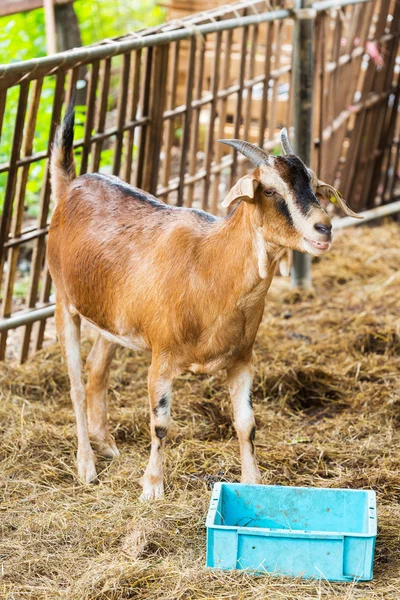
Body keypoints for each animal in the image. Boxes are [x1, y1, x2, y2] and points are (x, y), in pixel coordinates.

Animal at [47, 101, 360, 500]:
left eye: (313, 184)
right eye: (269, 191)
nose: (324, 228)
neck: (209, 267)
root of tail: (70, 185)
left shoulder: (242, 359)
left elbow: (246, 423)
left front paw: (253, 482)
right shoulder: (162, 357)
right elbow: (161, 423)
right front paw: (152, 488)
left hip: (112, 320)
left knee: (96, 371)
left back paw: (107, 445)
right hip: (64, 301)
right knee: (74, 383)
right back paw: (86, 466)